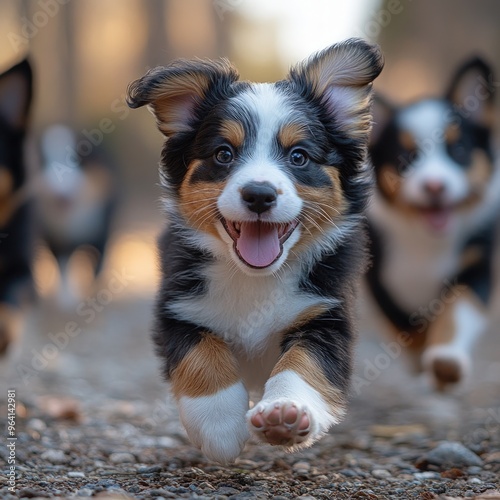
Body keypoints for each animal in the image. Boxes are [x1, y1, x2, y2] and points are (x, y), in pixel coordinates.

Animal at [126, 39, 382, 464]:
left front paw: (285, 414)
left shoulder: (327, 315)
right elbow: (202, 354)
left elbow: (303, 363)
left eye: (299, 156)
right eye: (223, 154)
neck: (255, 278)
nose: (259, 194)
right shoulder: (178, 308)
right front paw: (219, 427)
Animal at [366, 57, 498, 390]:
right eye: (406, 158)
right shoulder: (377, 277)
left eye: (459, 151)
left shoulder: (474, 266)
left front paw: (446, 361)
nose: (435, 186)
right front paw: (420, 361)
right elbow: (406, 327)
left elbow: (457, 310)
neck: (426, 240)